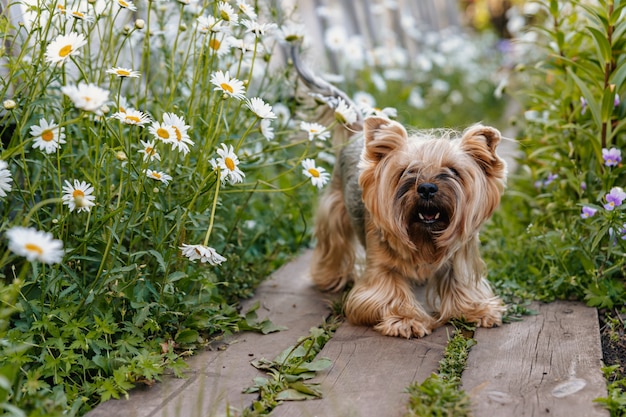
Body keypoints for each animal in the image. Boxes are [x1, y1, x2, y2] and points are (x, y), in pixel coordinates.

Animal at [292, 46, 508, 338]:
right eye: (406, 171)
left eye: (452, 171)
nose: (426, 187)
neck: (423, 239)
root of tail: (357, 130)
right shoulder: (380, 265)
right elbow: (387, 292)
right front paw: (406, 319)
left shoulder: (458, 258)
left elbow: (460, 284)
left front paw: (478, 310)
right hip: (335, 208)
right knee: (333, 241)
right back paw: (329, 277)